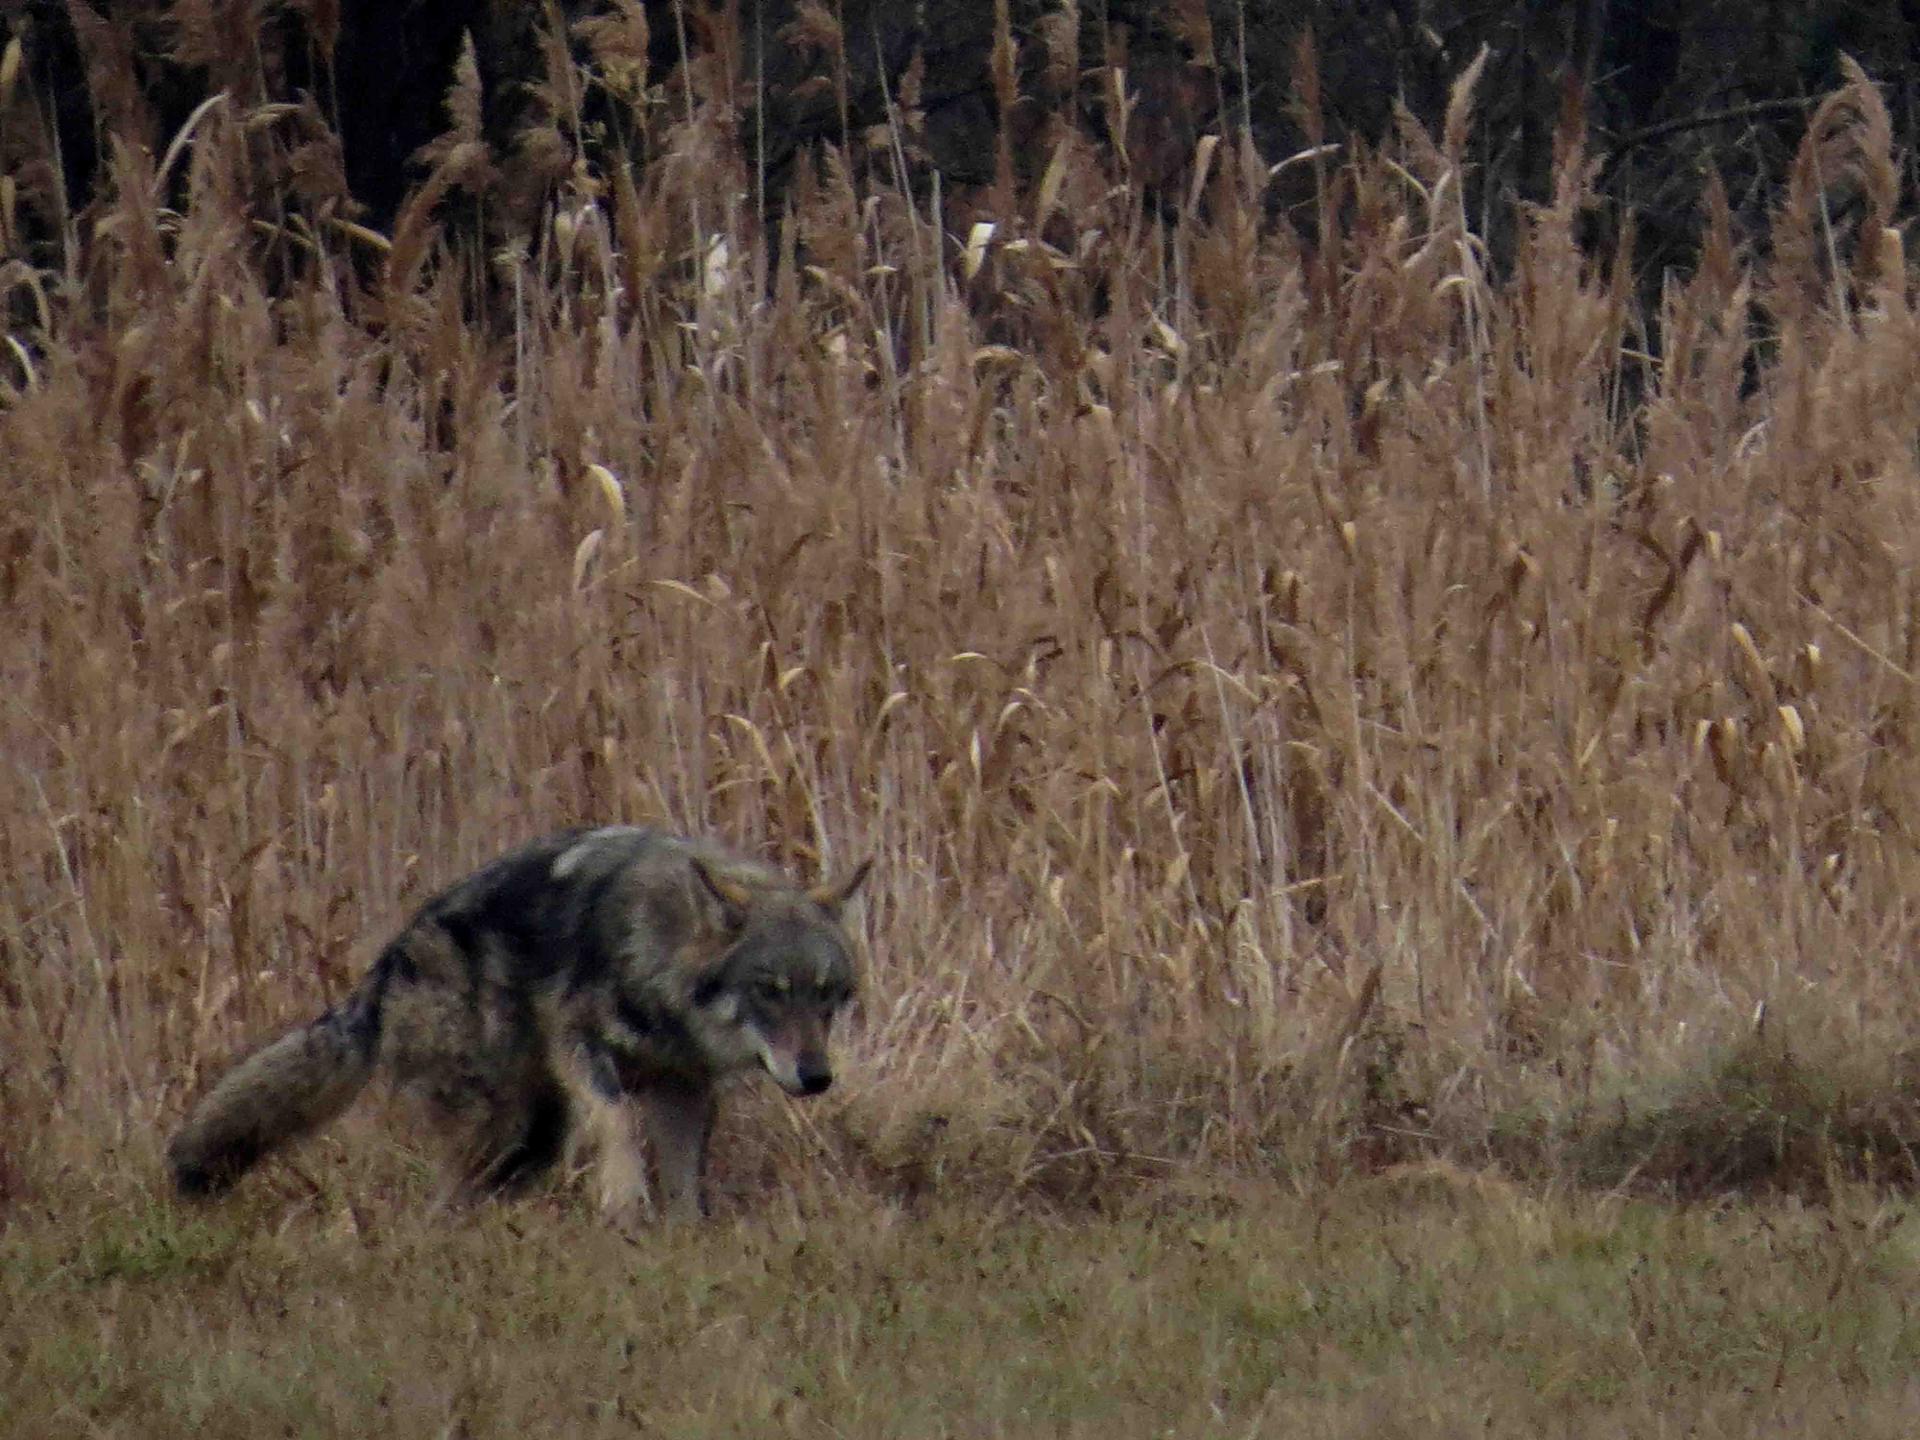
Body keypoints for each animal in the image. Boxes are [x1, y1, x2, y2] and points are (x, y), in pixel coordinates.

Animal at [168, 829, 875, 1221]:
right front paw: (623, 1204)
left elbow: (684, 1184)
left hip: (527, 1145)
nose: (817, 1077)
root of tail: (387, 965)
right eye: (769, 992)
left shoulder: (683, 1086)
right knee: (439, 1203)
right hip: (499, 1127)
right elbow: (618, 1123)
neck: (658, 961)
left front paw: (681, 1240)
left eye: (828, 998)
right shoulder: (580, 1046)